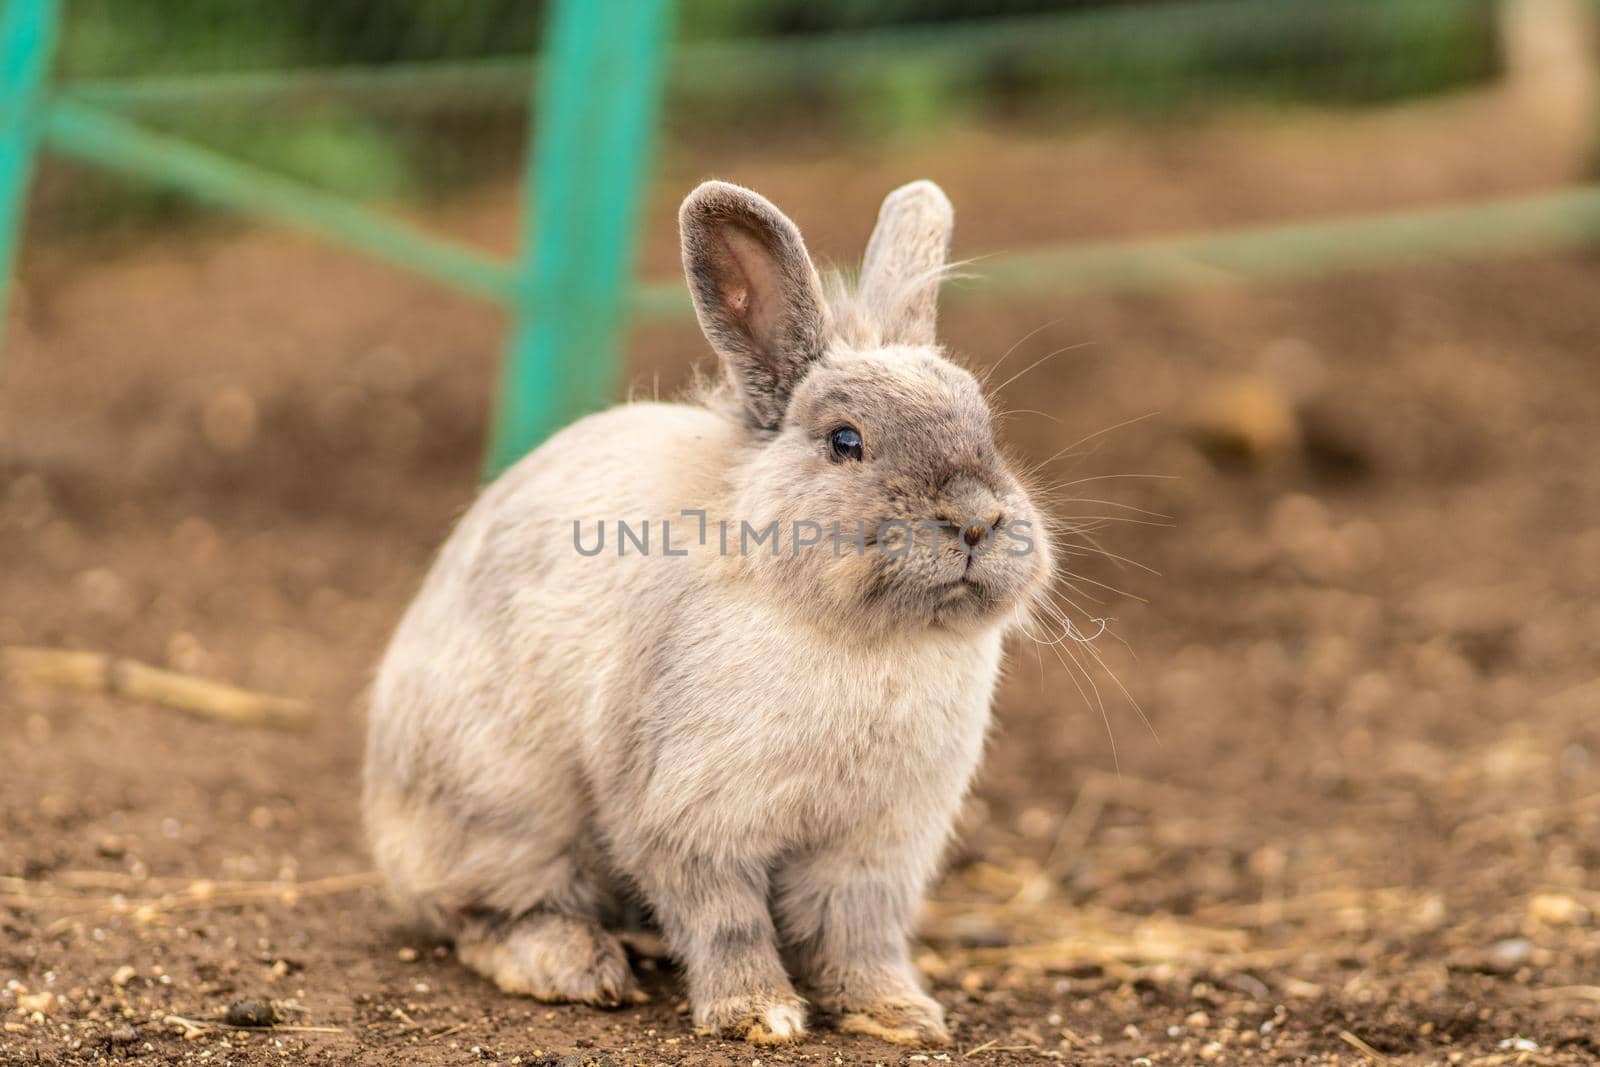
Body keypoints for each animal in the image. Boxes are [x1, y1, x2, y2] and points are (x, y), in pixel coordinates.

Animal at [366, 179, 1056, 1049]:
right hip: (502, 815)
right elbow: (726, 921)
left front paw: (900, 1013)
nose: (974, 521)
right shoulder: (689, 814)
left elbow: (859, 934)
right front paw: (759, 1013)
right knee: (483, 915)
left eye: (986, 428)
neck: (864, 635)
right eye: (845, 440)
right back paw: (573, 963)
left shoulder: (879, 841)